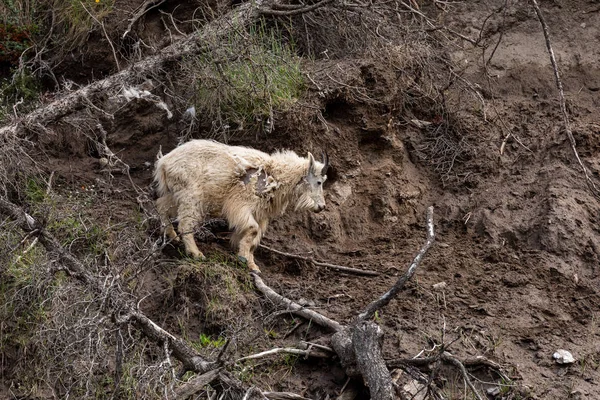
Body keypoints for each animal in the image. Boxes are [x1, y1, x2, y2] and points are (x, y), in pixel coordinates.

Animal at [152, 139, 330, 274]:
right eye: (319, 182)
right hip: (192, 196)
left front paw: (253, 265)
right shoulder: (240, 205)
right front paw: (244, 259)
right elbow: (252, 230)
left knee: (161, 205)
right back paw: (196, 253)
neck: (276, 175)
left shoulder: (260, 214)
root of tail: (163, 162)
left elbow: (254, 240)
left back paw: (171, 235)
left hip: (177, 194)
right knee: (185, 224)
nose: (321, 206)